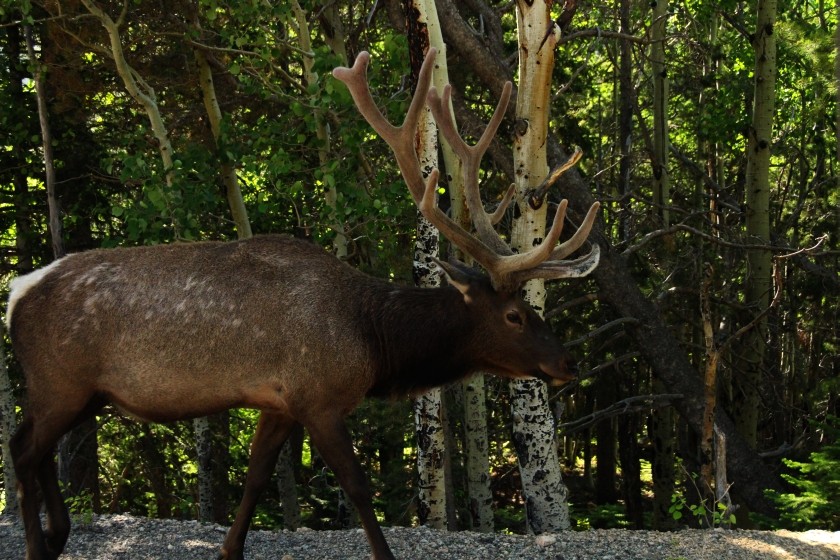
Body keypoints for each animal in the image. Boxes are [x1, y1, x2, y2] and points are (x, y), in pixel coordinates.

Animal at [6, 48, 596, 560]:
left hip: (80, 392)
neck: (374, 343)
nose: (569, 363)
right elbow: (356, 486)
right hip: (59, 381)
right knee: (23, 449)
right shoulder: (319, 396)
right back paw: (40, 542)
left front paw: (229, 549)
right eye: (515, 315)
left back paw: (58, 535)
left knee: (33, 447)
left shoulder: (278, 402)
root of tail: (16, 293)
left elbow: (255, 480)